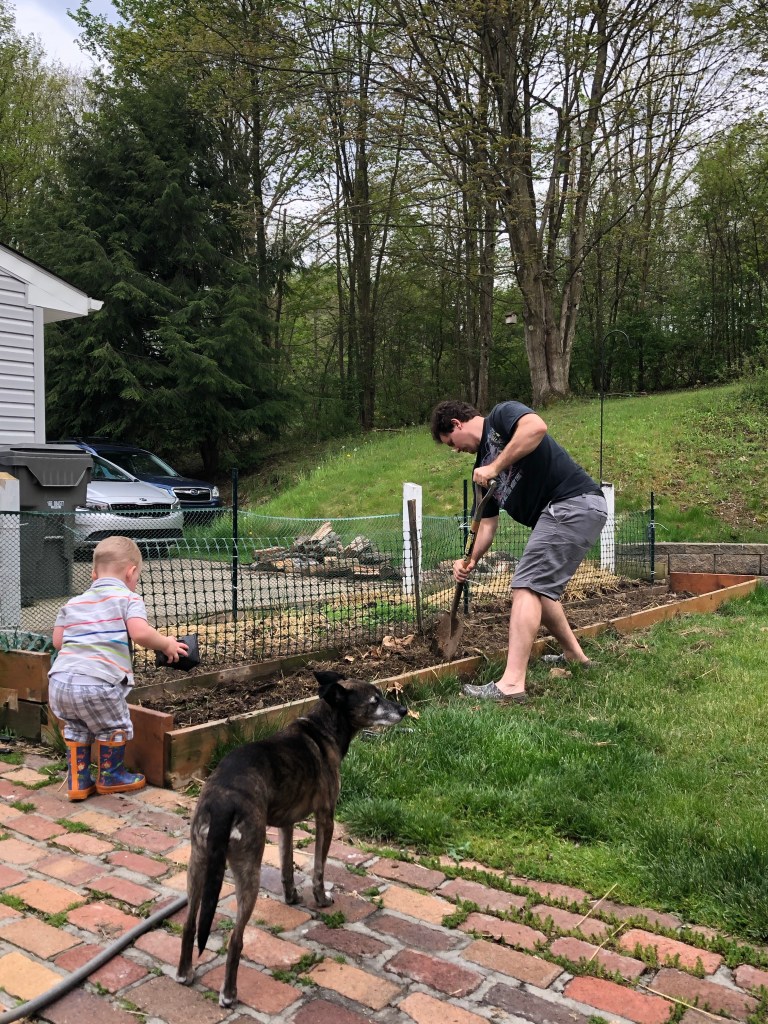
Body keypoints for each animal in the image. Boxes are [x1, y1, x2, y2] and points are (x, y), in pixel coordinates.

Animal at [176, 669, 407, 1007]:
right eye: (374, 700)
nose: (403, 710)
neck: (322, 728)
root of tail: (222, 803)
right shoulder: (326, 818)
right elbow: (319, 869)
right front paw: (321, 900)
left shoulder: (285, 823)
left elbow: (287, 865)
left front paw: (292, 897)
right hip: (249, 867)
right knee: (235, 939)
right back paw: (229, 993)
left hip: (198, 863)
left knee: (190, 923)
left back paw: (184, 973)